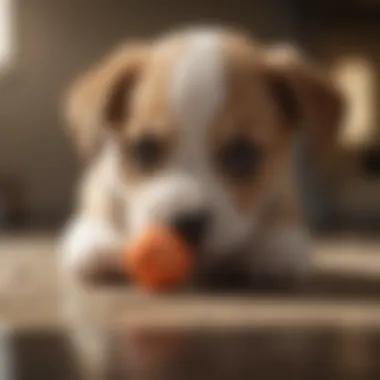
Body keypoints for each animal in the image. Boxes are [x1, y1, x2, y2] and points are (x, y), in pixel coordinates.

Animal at [61, 26, 342, 288]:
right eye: (145, 149)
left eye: (243, 154)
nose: (187, 223)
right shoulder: (102, 178)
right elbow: (101, 201)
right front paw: (99, 238)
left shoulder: (282, 186)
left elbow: (282, 213)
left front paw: (275, 244)